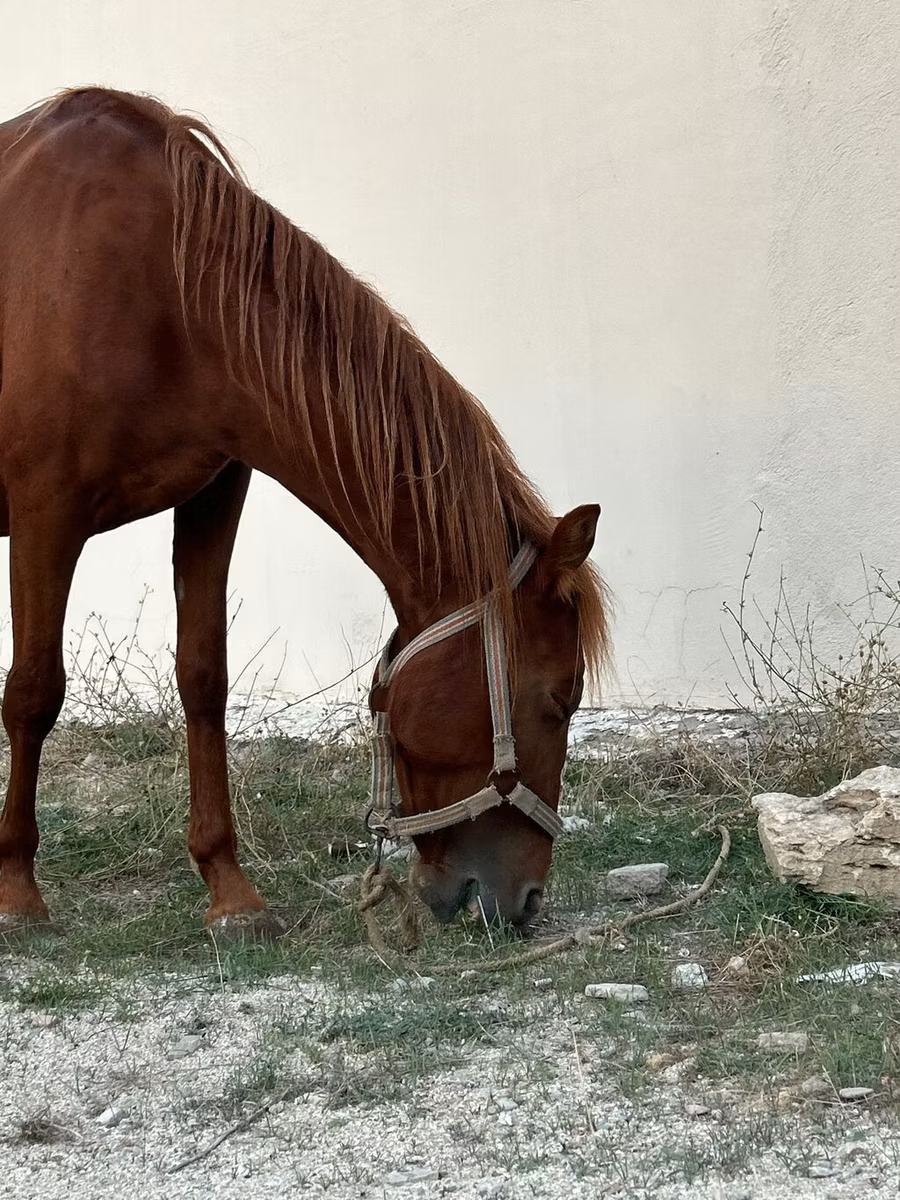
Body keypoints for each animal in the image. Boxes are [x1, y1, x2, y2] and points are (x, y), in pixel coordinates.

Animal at [0, 88, 609, 935]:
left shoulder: (211, 500)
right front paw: (17, 890)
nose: (523, 901)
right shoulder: (45, 516)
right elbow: (32, 692)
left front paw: (229, 889)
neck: (155, 286)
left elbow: (203, 679)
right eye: (557, 700)